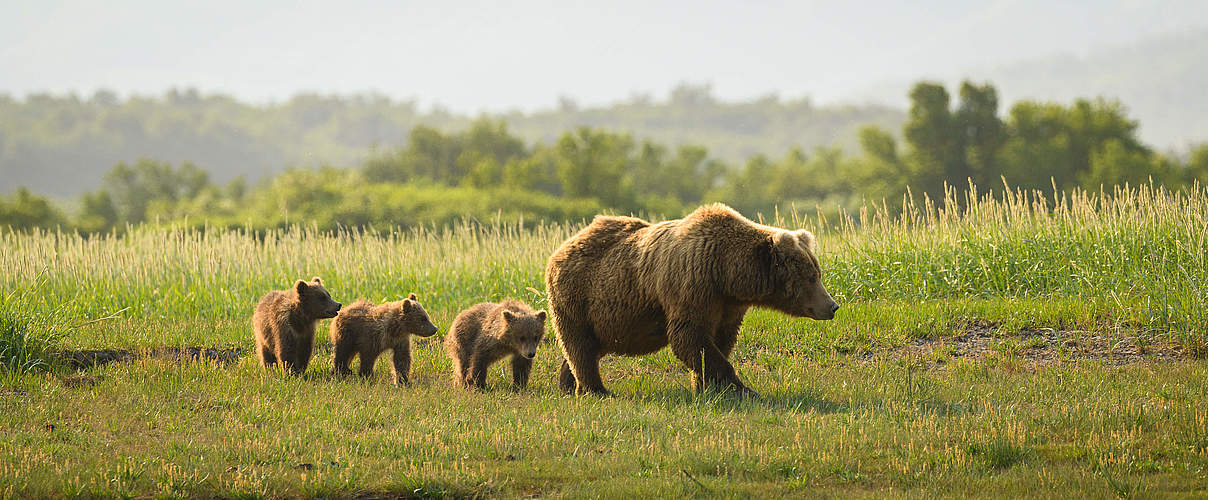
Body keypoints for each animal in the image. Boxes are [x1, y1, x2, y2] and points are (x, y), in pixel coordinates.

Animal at [546, 202, 835, 398]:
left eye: (817, 272)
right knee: (579, 345)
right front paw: (742, 389)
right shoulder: (693, 286)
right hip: (577, 297)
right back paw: (595, 390)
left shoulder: (728, 305)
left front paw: (706, 386)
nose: (832, 306)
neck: (726, 273)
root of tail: (561, 248)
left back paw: (568, 383)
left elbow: (719, 339)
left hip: (607, 318)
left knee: (586, 346)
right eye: (811, 277)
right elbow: (690, 337)